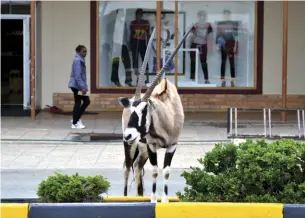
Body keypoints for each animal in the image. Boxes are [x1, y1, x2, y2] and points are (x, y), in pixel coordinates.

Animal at [118, 24, 192, 202]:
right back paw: (125, 197)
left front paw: (164, 201)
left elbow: (165, 171)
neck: (168, 117)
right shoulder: (152, 146)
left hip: (141, 148)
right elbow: (155, 171)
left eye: (144, 109)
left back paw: (139, 195)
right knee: (127, 167)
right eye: (132, 110)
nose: (128, 134)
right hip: (130, 145)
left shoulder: (172, 145)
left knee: (137, 166)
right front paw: (153, 200)